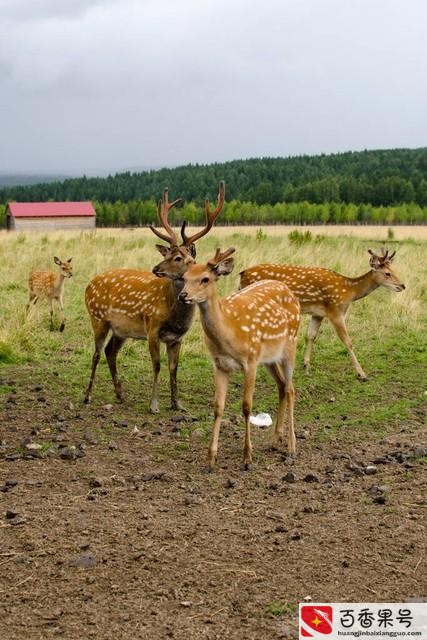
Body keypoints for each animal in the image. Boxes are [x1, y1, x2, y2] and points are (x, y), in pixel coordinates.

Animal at [82, 181, 226, 410]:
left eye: (178, 258)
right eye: (167, 253)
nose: (155, 268)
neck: (175, 316)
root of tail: (88, 285)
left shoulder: (177, 337)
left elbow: (174, 368)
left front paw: (177, 404)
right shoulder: (152, 327)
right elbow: (157, 365)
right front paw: (154, 405)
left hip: (121, 329)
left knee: (110, 352)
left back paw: (120, 395)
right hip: (97, 318)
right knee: (96, 353)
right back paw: (87, 396)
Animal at [174, 248, 300, 472]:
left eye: (205, 279)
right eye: (184, 277)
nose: (183, 296)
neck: (229, 333)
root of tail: (290, 292)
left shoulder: (250, 360)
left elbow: (246, 406)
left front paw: (247, 457)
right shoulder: (219, 364)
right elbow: (218, 407)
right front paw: (210, 459)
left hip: (290, 345)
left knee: (291, 389)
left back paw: (291, 448)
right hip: (269, 357)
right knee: (282, 386)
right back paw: (275, 439)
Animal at [239, 246, 406, 380]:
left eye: (393, 270)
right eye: (387, 273)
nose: (402, 285)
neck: (349, 292)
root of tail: (242, 274)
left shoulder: (318, 313)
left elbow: (311, 336)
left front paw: (306, 366)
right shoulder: (335, 311)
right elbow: (347, 341)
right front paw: (362, 374)